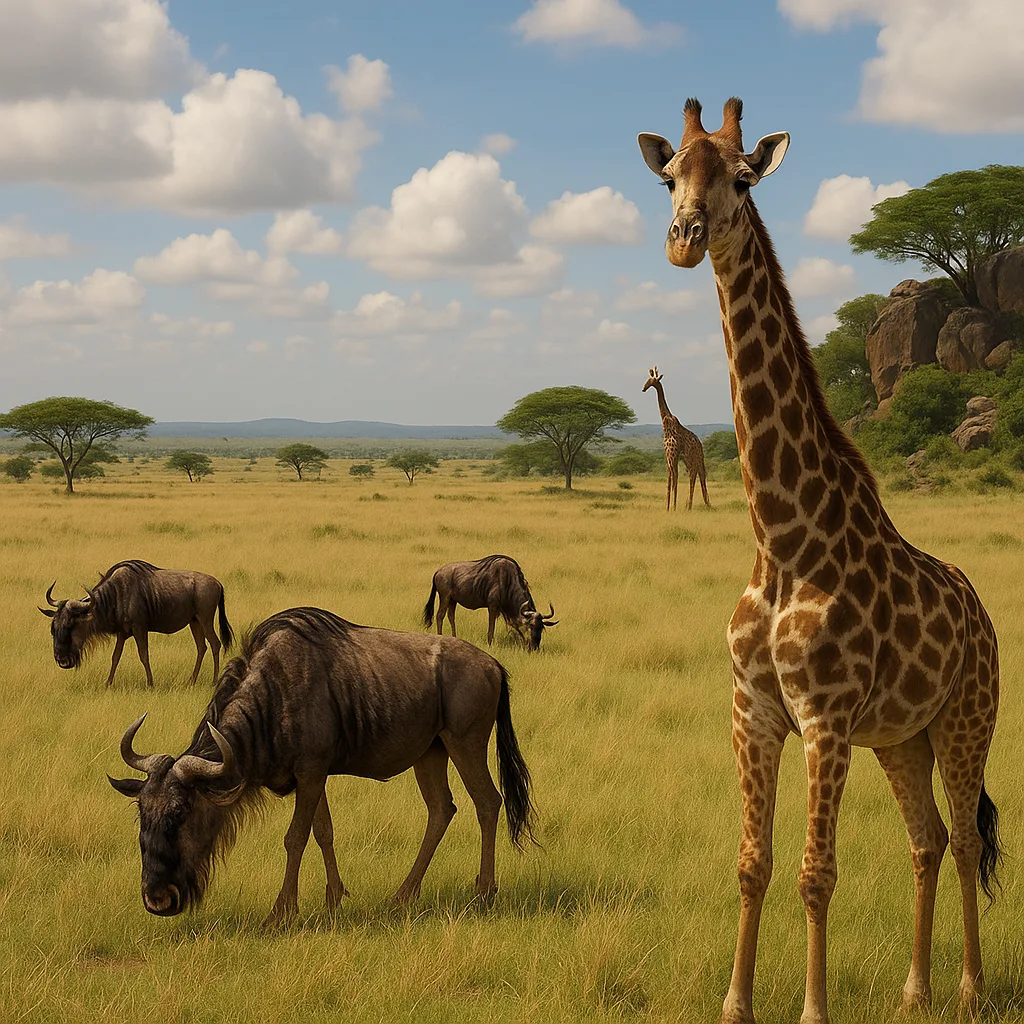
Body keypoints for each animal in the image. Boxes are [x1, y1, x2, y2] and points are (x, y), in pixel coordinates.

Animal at [643, 365, 711, 511]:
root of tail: (700, 447)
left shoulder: (673, 455)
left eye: (651, 380)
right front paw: (667, 507)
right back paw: (701, 504)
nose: (643, 388)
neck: (666, 422)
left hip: (692, 459)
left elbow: (674, 478)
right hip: (691, 460)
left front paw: (672, 507)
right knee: (698, 476)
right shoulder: (668, 456)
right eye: (647, 379)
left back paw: (690, 506)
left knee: (693, 476)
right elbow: (670, 479)